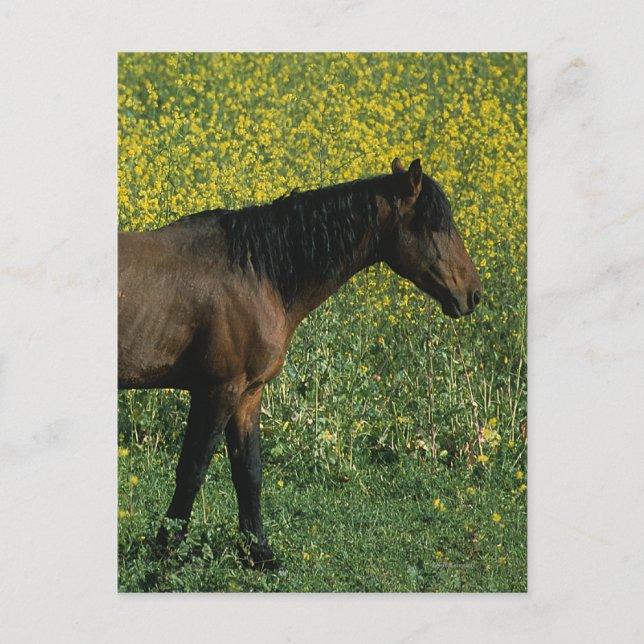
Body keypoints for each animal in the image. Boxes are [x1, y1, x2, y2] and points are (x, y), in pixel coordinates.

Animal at [118, 157, 482, 567]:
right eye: (434, 226)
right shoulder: (217, 391)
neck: (256, 272)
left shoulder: (248, 394)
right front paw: (167, 548)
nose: (473, 293)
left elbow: (249, 472)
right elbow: (193, 470)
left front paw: (259, 553)